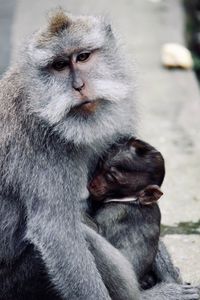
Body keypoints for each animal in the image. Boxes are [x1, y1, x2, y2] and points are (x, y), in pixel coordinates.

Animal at [88, 138, 166, 288]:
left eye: (111, 178)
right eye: (100, 165)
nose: (92, 184)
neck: (133, 200)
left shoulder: (115, 212)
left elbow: (97, 231)